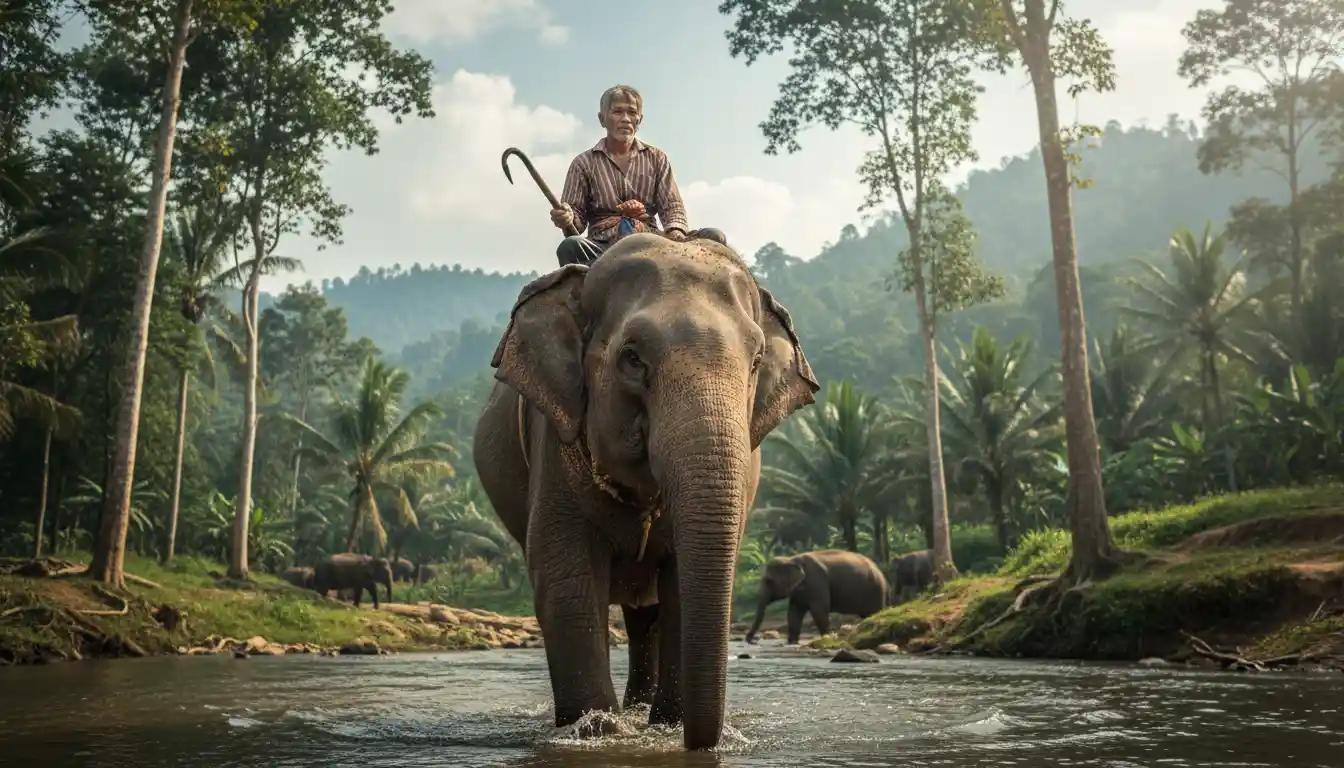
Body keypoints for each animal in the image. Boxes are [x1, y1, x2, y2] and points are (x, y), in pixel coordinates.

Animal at [472, 233, 818, 750]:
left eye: (756, 361)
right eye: (632, 358)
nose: (703, 741)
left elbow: (679, 589)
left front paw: (668, 726)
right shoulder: (553, 438)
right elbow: (565, 580)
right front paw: (599, 730)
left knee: (645, 615)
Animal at [744, 550, 888, 645]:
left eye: (769, 581)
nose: (753, 640)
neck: (791, 559)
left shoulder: (817, 581)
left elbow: (818, 610)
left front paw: (826, 638)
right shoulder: (798, 591)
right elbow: (794, 612)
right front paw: (792, 641)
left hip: (876, 591)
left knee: (874, 612)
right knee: (867, 616)